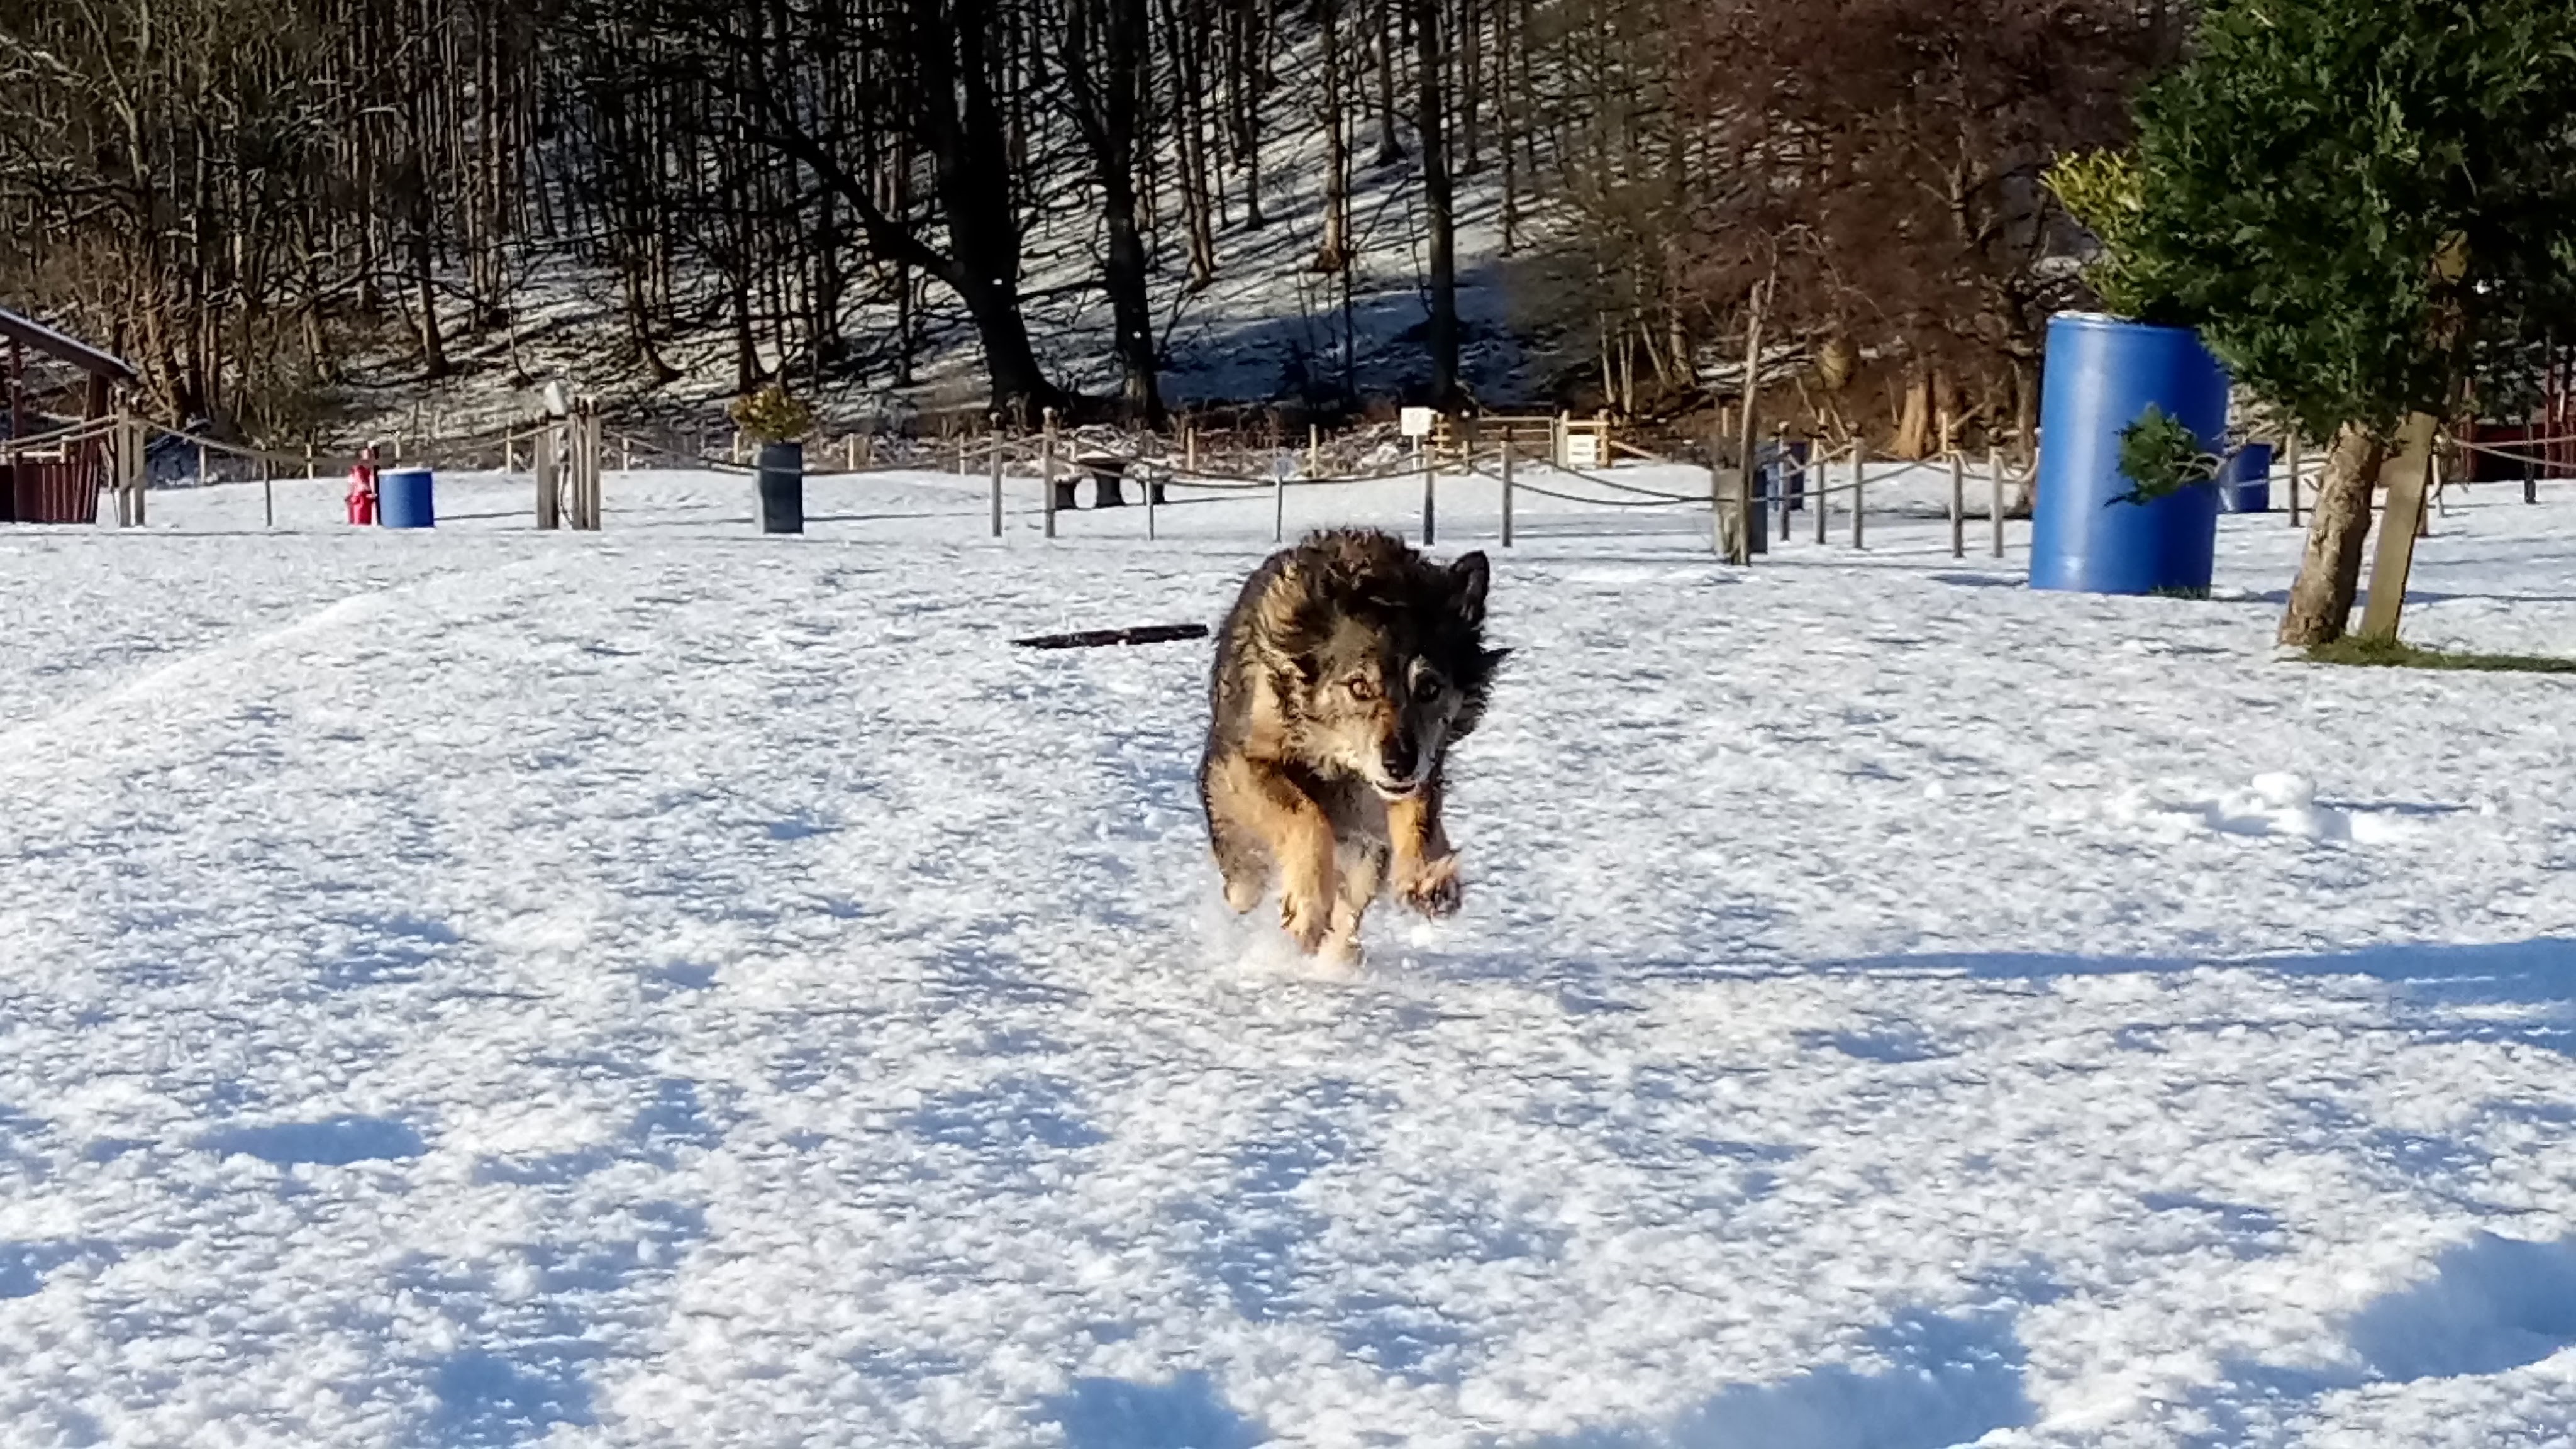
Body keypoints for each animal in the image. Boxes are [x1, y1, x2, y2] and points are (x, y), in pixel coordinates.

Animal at [1190, 528, 1504, 959]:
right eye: (1359, 687)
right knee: (1245, 877)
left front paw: (1428, 875)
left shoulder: (1419, 769)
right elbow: (1305, 816)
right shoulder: (1242, 759)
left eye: (1429, 688)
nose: (1398, 765)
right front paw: (1307, 907)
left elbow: (1419, 814)